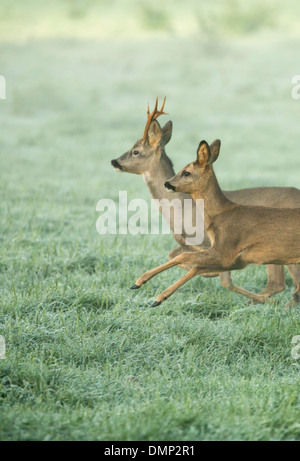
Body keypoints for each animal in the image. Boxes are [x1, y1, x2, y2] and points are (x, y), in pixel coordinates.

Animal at [111, 98, 300, 302]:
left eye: (135, 151)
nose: (114, 161)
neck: (182, 209)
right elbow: (176, 256)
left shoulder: (213, 245)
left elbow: (220, 277)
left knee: (282, 285)